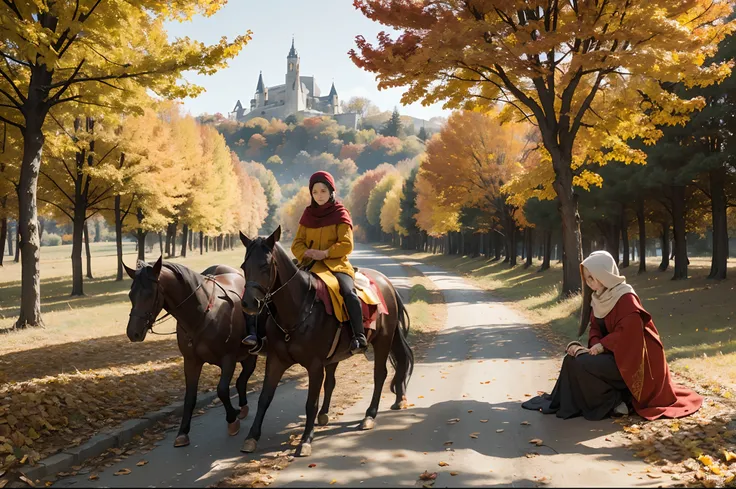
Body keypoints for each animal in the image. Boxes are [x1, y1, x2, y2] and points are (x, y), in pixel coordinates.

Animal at [124, 260, 264, 446]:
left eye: (150, 293)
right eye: (131, 294)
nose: (133, 333)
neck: (203, 314)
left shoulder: (228, 358)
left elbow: (222, 390)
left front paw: (232, 421)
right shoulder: (191, 361)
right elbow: (190, 397)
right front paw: (183, 432)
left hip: (248, 355)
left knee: (242, 378)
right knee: (241, 380)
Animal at [239, 227, 412, 456]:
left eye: (265, 266)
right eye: (244, 266)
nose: (249, 303)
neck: (299, 309)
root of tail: (387, 283)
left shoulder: (314, 365)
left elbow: (310, 403)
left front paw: (305, 440)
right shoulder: (276, 361)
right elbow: (264, 398)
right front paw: (251, 437)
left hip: (383, 341)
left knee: (380, 374)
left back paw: (369, 415)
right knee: (337, 380)